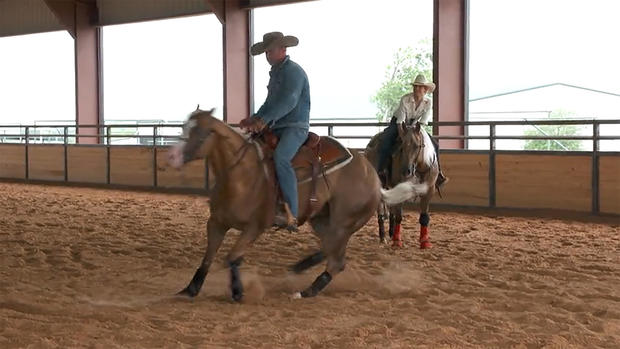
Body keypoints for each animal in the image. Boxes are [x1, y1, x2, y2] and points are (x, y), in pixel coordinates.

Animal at [166, 109, 426, 300]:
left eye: (201, 131)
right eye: (184, 127)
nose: (172, 157)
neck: (242, 174)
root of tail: (373, 178)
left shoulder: (255, 227)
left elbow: (231, 258)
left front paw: (238, 291)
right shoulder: (216, 223)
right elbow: (208, 258)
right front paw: (190, 288)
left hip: (343, 222)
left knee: (336, 260)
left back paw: (306, 291)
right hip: (321, 220)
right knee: (331, 251)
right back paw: (301, 267)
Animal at [366, 121, 438, 249]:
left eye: (417, 146)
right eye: (401, 146)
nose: (407, 171)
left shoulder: (429, 190)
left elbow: (424, 217)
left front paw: (424, 241)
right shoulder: (399, 188)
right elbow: (399, 216)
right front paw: (397, 240)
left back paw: (390, 232)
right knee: (381, 210)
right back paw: (383, 236)